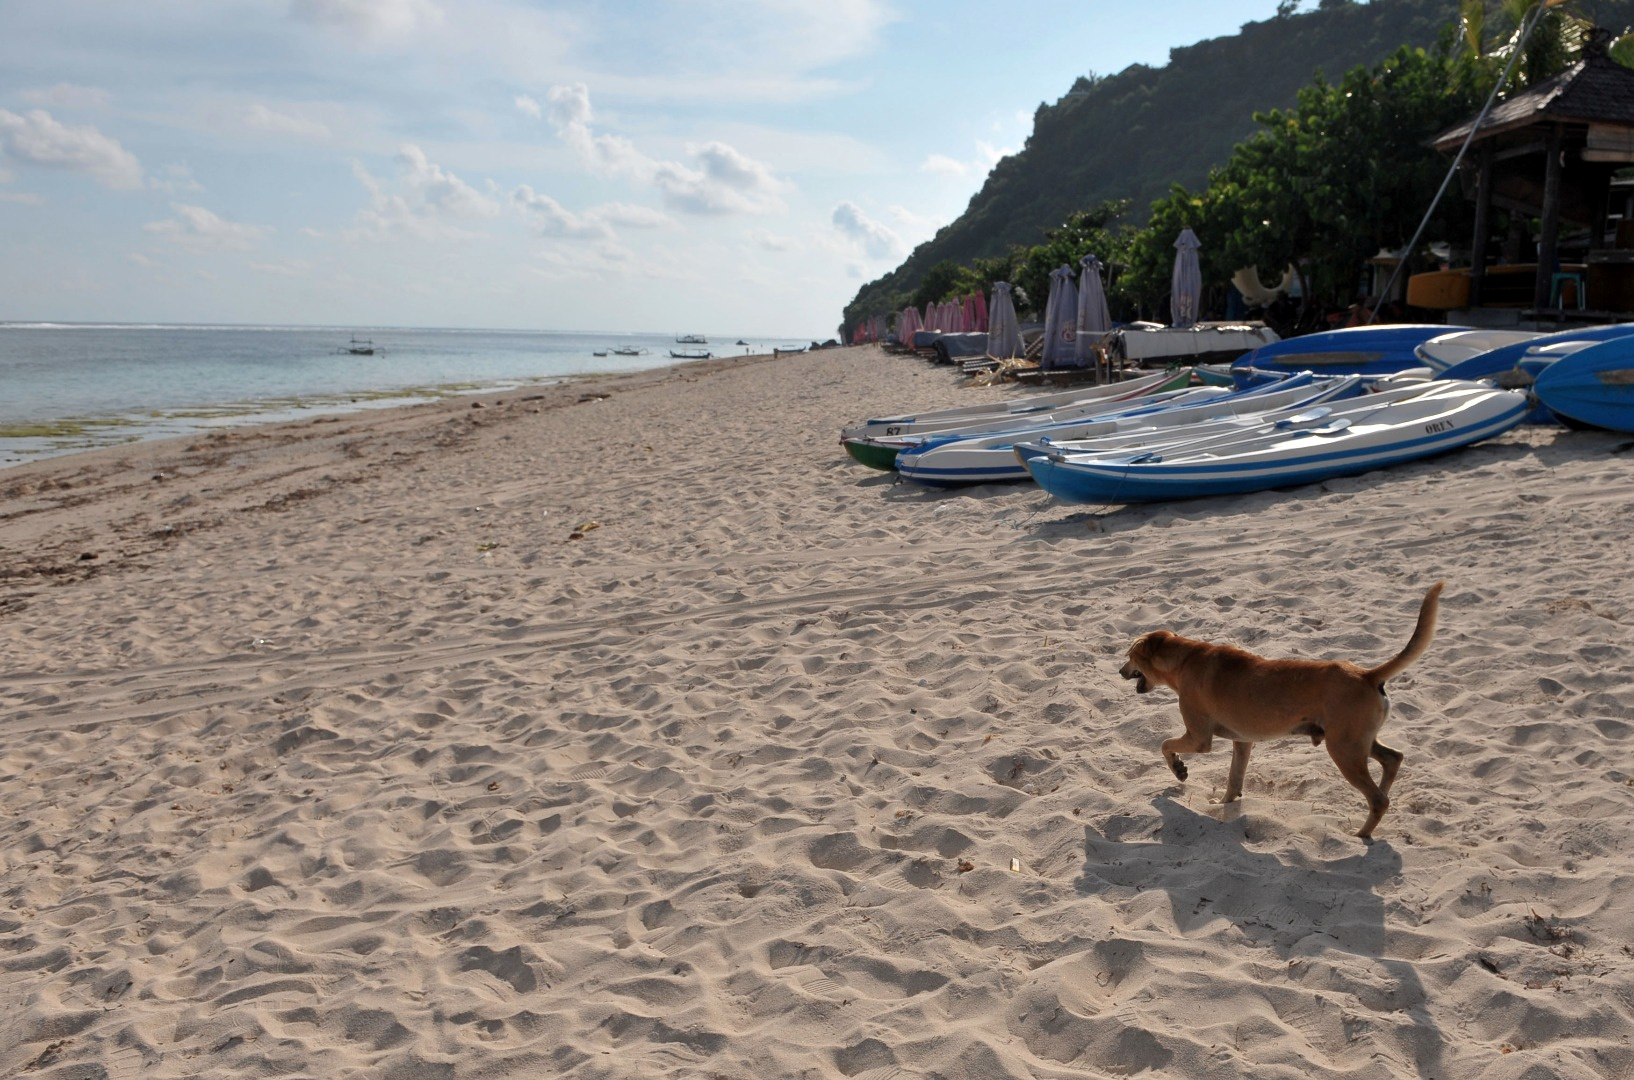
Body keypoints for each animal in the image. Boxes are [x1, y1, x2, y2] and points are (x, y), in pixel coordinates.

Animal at [1124, 578, 1444, 836]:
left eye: (1129, 656)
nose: (1119, 671)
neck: (1185, 659)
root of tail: (1366, 674)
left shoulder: (1199, 738)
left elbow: (1165, 745)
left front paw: (1179, 770)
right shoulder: (1243, 742)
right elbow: (1234, 779)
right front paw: (1225, 802)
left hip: (1344, 750)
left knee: (1378, 798)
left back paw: (1361, 835)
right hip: (1356, 743)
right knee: (1392, 760)